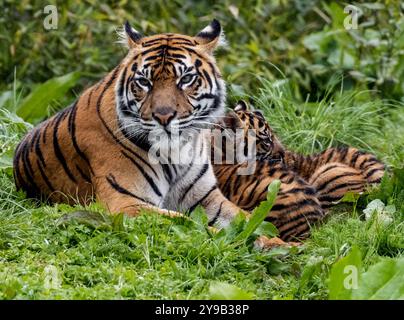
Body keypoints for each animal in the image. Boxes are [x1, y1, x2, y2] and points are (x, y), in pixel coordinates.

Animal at [13, 21, 252, 232]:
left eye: (185, 79)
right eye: (144, 82)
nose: (163, 117)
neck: (176, 151)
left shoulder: (207, 198)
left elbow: (246, 217)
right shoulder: (125, 203)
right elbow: (189, 224)